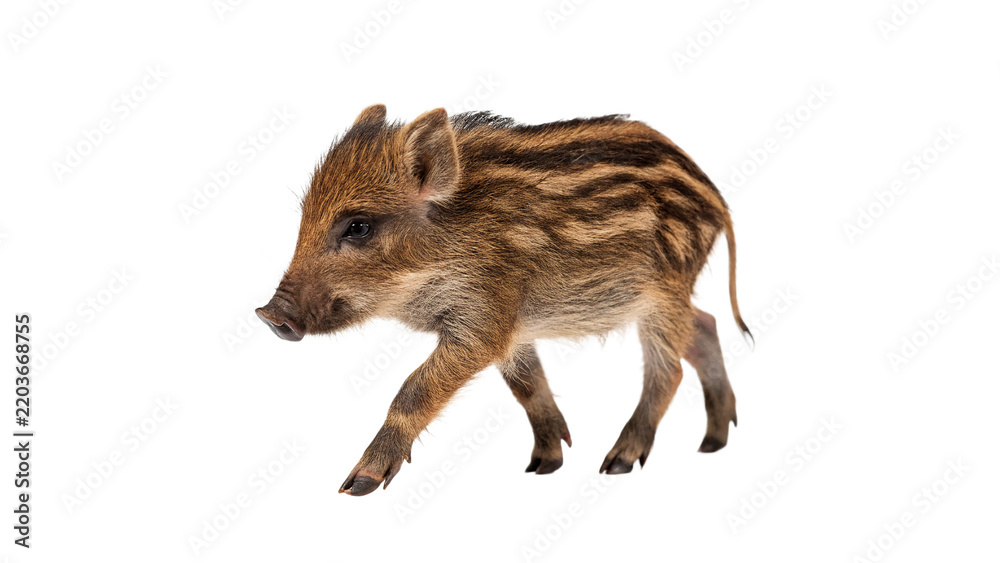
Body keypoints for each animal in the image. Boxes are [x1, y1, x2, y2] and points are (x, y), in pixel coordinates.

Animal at [256, 105, 751, 496]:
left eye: (358, 226)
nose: (269, 314)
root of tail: (716, 199)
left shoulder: (483, 321)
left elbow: (414, 390)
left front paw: (357, 484)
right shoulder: (512, 325)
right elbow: (527, 385)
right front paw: (544, 464)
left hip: (663, 292)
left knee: (668, 369)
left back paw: (618, 462)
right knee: (705, 324)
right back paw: (713, 442)